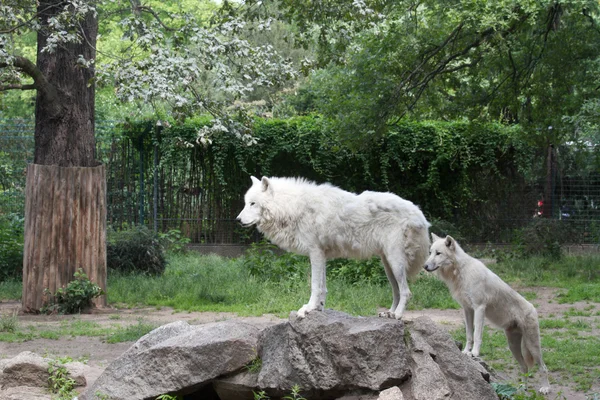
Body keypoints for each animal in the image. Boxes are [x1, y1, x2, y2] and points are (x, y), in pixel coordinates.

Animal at [236, 177, 432, 320]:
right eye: (246, 203)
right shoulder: (321, 255)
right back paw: (389, 313)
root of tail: (419, 214)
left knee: (406, 291)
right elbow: (323, 287)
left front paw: (307, 309)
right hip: (387, 265)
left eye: (253, 203)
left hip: (395, 262)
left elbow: (315, 286)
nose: (237, 220)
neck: (292, 206)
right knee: (397, 291)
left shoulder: (315, 252)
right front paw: (318, 309)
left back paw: (397, 315)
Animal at [422, 234, 548, 394]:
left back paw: (545, 388)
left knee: (543, 367)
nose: (425, 266)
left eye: (438, 253)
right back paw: (522, 389)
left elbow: (477, 335)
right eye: (430, 252)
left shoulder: (479, 308)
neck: (461, 272)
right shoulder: (467, 309)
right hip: (513, 346)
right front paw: (465, 352)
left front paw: (474, 353)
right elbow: (469, 335)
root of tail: (534, 308)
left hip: (533, 347)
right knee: (524, 366)